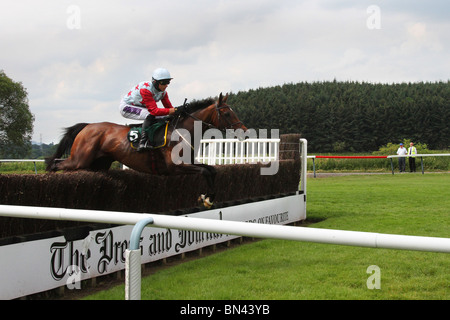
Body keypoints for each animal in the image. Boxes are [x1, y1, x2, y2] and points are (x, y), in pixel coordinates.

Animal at [45, 92, 246, 208]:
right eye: (227, 113)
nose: (244, 131)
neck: (182, 130)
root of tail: (87, 126)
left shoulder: (189, 162)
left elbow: (211, 170)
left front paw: (208, 197)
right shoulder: (175, 167)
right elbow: (205, 171)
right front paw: (206, 197)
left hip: (99, 164)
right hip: (80, 159)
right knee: (55, 164)